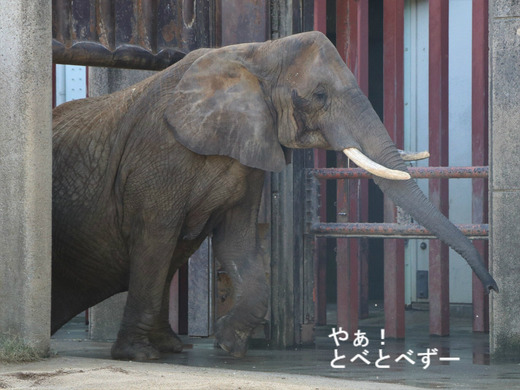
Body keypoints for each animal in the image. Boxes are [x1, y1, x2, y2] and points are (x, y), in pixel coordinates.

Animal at [50, 31, 498, 362]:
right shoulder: (158, 154)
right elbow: (155, 240)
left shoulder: (249, 150)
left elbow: (240, 242)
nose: (494, 289)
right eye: (319, 95)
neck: (256, 53)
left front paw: (227, 344)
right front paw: (139, 356)